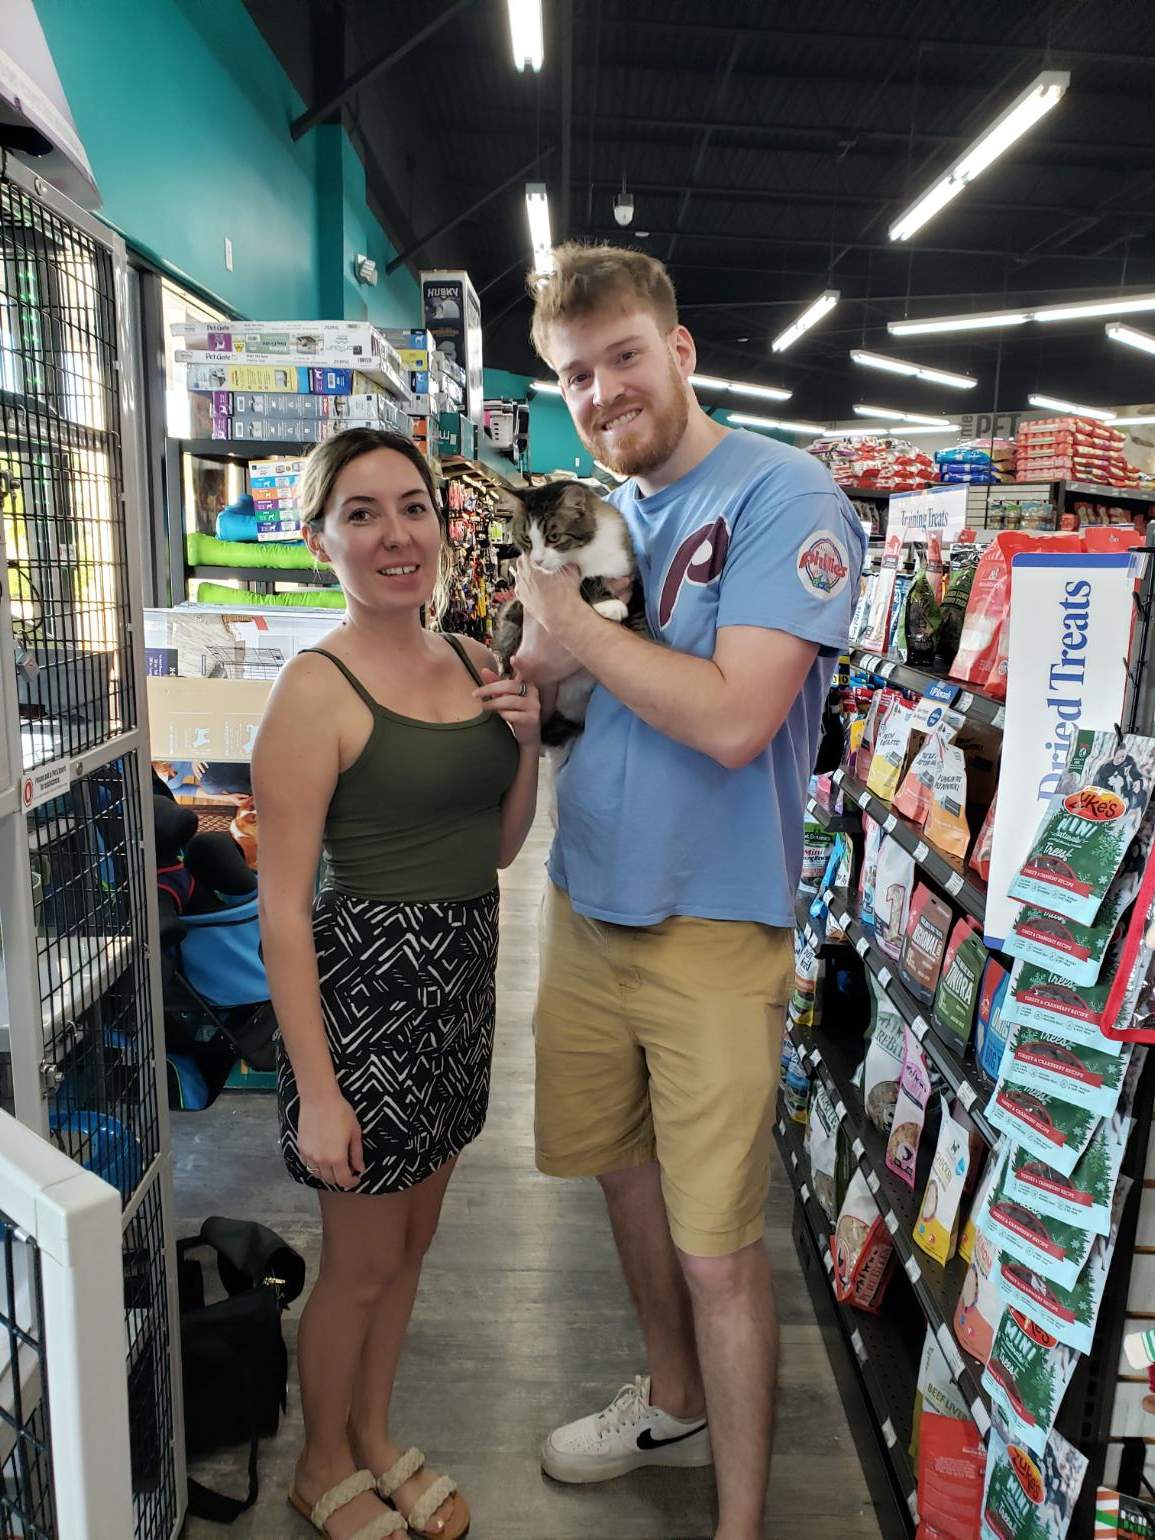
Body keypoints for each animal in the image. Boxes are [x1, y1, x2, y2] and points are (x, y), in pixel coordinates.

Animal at [492, 477, 646, 748]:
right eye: (527, 539)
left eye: (553, 536)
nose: (537, 561)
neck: (587, 549)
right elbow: (587, 579)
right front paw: (608, 603)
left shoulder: (629, 572)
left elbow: (638, 602)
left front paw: (645, 632)